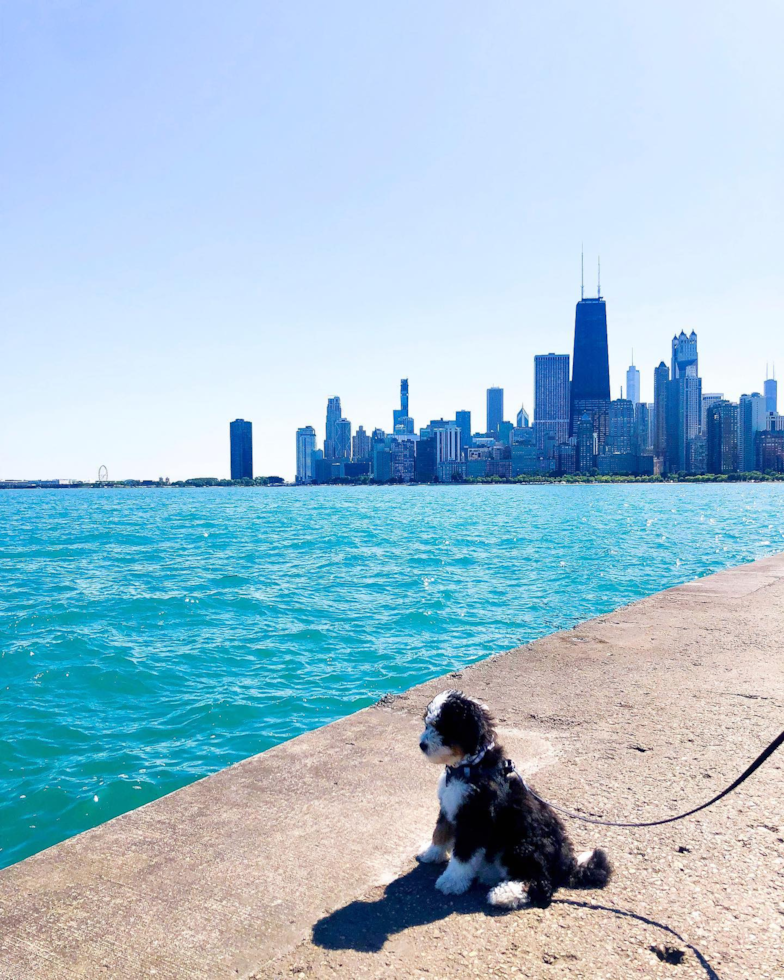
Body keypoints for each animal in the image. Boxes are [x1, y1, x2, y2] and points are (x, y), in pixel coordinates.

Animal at [416, 688, 612, 912]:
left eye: (443, 728)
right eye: (427, 724)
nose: (422, 745)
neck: (469, 766)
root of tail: (566, 863)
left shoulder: (475, 819)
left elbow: (463, 854)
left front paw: (451, 881)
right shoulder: (449, 807)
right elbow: (440, 832)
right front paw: (431, 853)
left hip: (521, 845)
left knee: (540, 885)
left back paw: (503, 894)